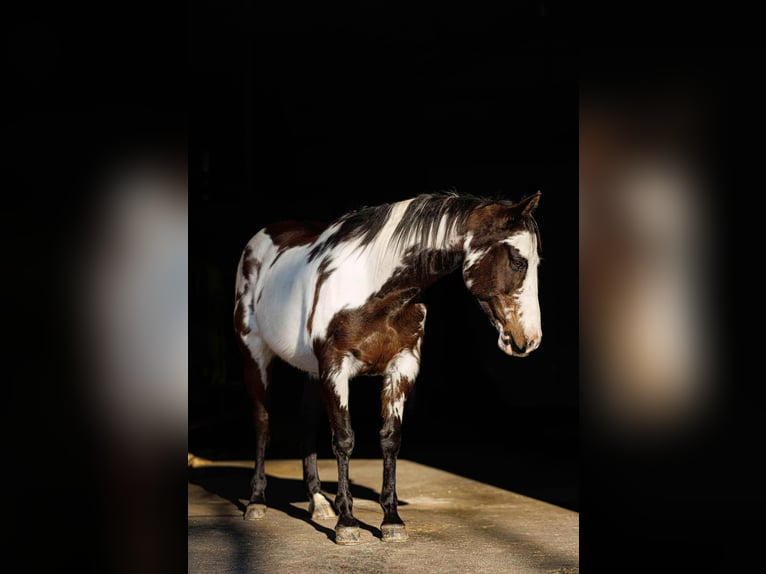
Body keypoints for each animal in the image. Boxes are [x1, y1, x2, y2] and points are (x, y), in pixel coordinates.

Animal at [233, 191, 542, 544]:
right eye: (518, 261)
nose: (529, 340)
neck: (373, 286)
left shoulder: (403, 366)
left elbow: (391, 439)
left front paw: (391, 519)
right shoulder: (335, 368)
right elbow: (344, 439)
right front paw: (347, 522)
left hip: (311, 370)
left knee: (307, 423)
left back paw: (318, 502)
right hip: (256, 356)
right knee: (262, 423)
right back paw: (257, 501)